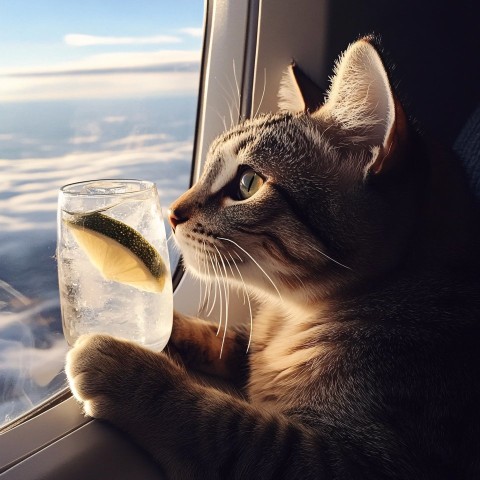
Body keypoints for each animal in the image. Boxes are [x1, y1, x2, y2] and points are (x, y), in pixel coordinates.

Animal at [64, 35, 480, 478]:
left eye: (247, 184)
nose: (172, 213)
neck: (294, 317)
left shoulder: (351, 460)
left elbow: (224, 425)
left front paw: (125, 367)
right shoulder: (252, 345)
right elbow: (225, 339)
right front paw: (158, 329)